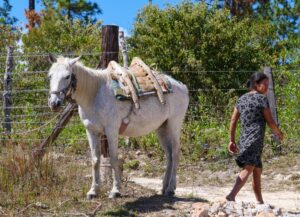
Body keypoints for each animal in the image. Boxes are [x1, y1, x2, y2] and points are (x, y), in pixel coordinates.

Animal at [48, 56, 189, 200]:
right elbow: (95, 160)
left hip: (174, 125)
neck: (94, 95)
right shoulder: (91, 131)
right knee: (169, 155)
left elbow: (114, 159)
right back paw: (164, 187)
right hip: (162, 128)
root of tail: (181, 86)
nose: (54, 103)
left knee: (175, 154)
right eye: (50, 76)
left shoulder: (111, 131)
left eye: (67, 76)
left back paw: (170, 188)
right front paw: (93, 191)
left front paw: (115, 190)